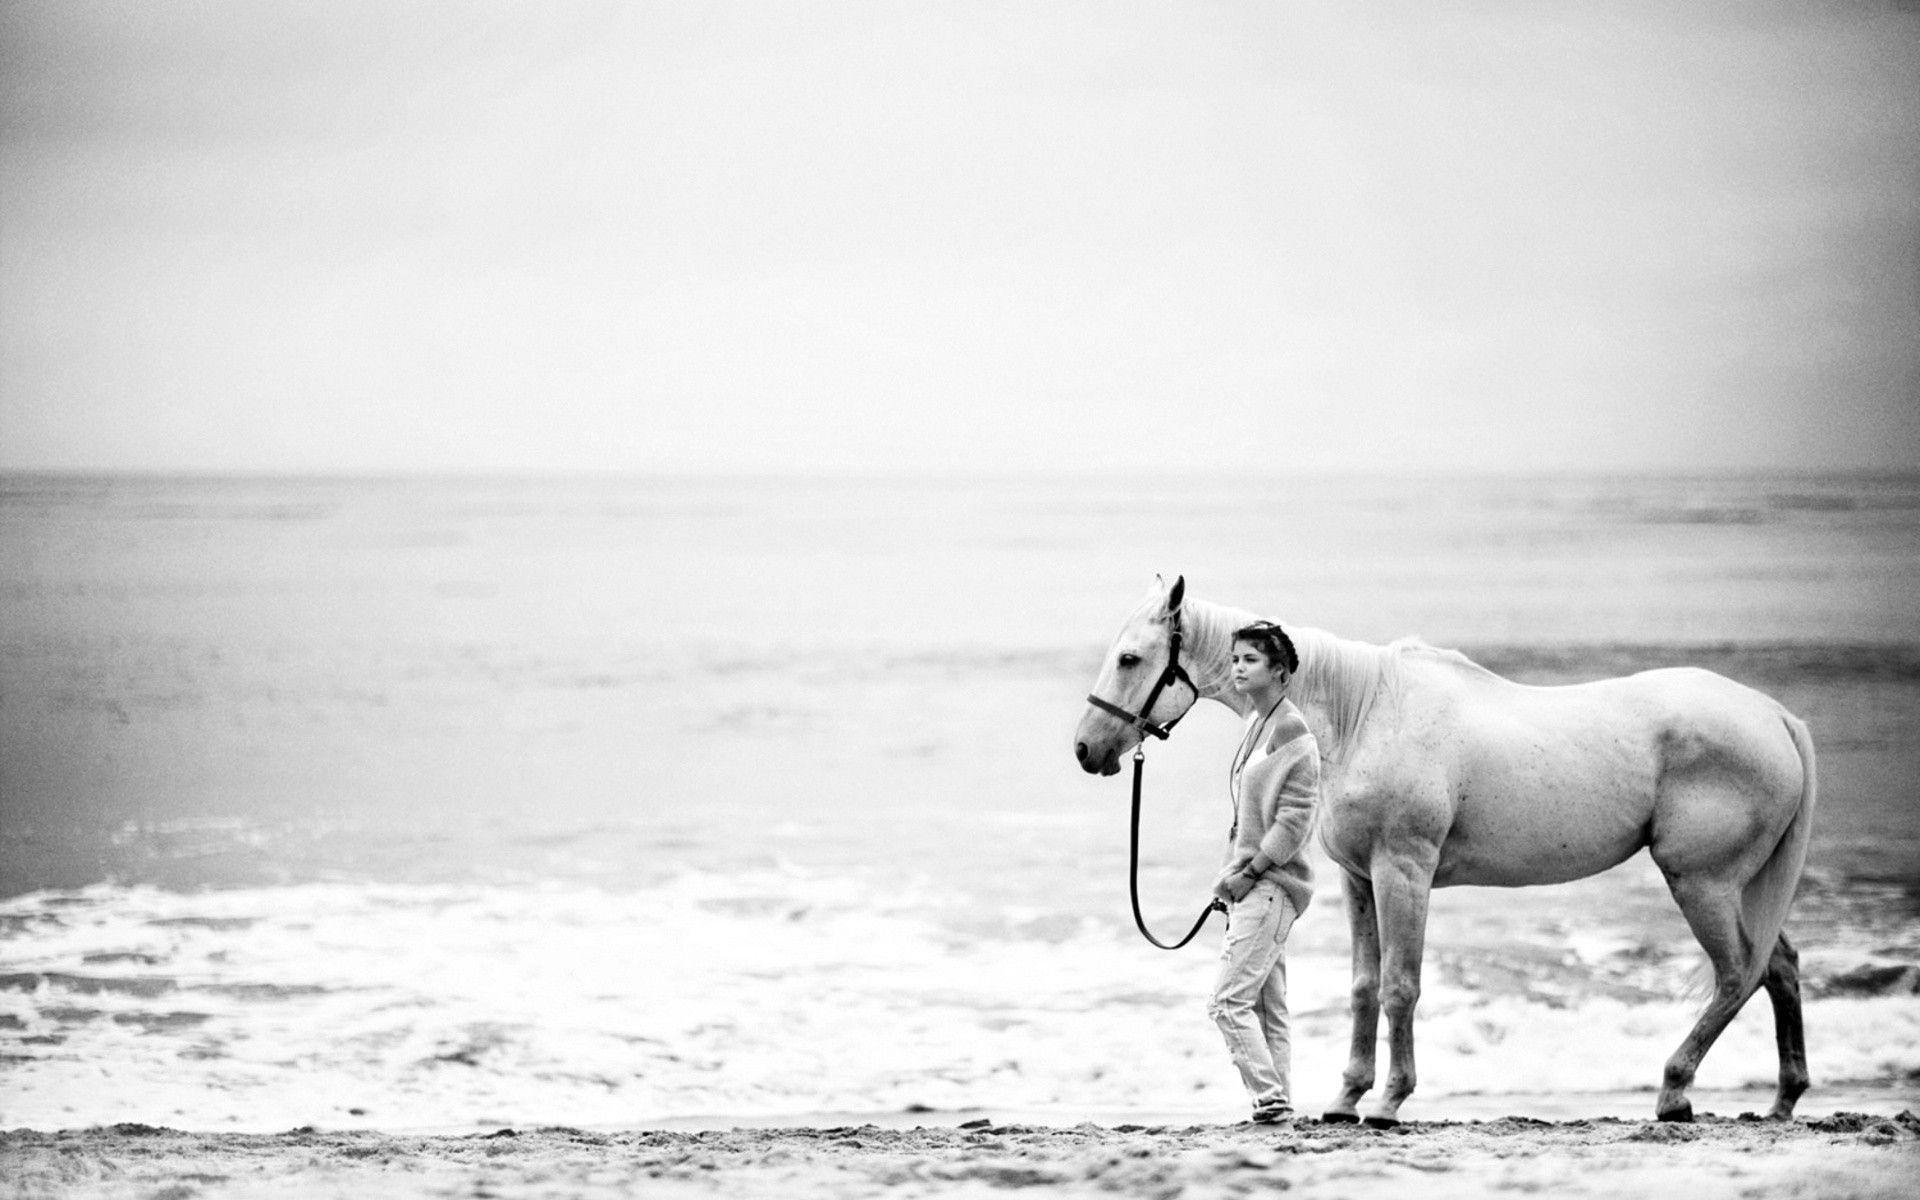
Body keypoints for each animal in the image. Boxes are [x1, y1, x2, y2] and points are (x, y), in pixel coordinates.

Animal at [1074, 576, 1817, 1126]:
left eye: (1131, 658)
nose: (1086, 749)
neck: (1361, 713)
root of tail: (1776, 716)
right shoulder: (1358, 879)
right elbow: (1364, 987)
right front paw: (1345, 1098)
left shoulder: (1403, 872)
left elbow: (1401, 986)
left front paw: (1389, 1101)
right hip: (1735, 887)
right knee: (1777, 965)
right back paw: (1782, 1099)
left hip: (1701, 882)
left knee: (1737, 974)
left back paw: (1673, 1091)